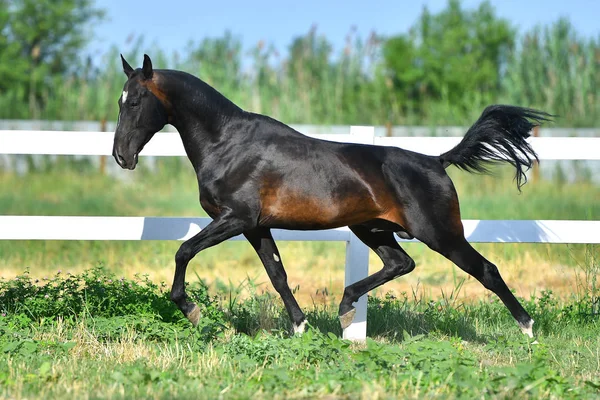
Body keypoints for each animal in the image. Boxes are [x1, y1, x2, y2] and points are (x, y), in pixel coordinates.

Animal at [113, 54, 552, 338]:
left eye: (134, 101)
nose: (122, 157)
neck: (228, 143)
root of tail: (436, 160)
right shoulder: (255, 226)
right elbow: (277, 275)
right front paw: (300, 326)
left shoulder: (235, 218)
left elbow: (183, 250)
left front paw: (191, 311)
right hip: (371, 229)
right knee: (401, 263)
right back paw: (344, 311)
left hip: (441, 234)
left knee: (486, 271)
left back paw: (528, 329)